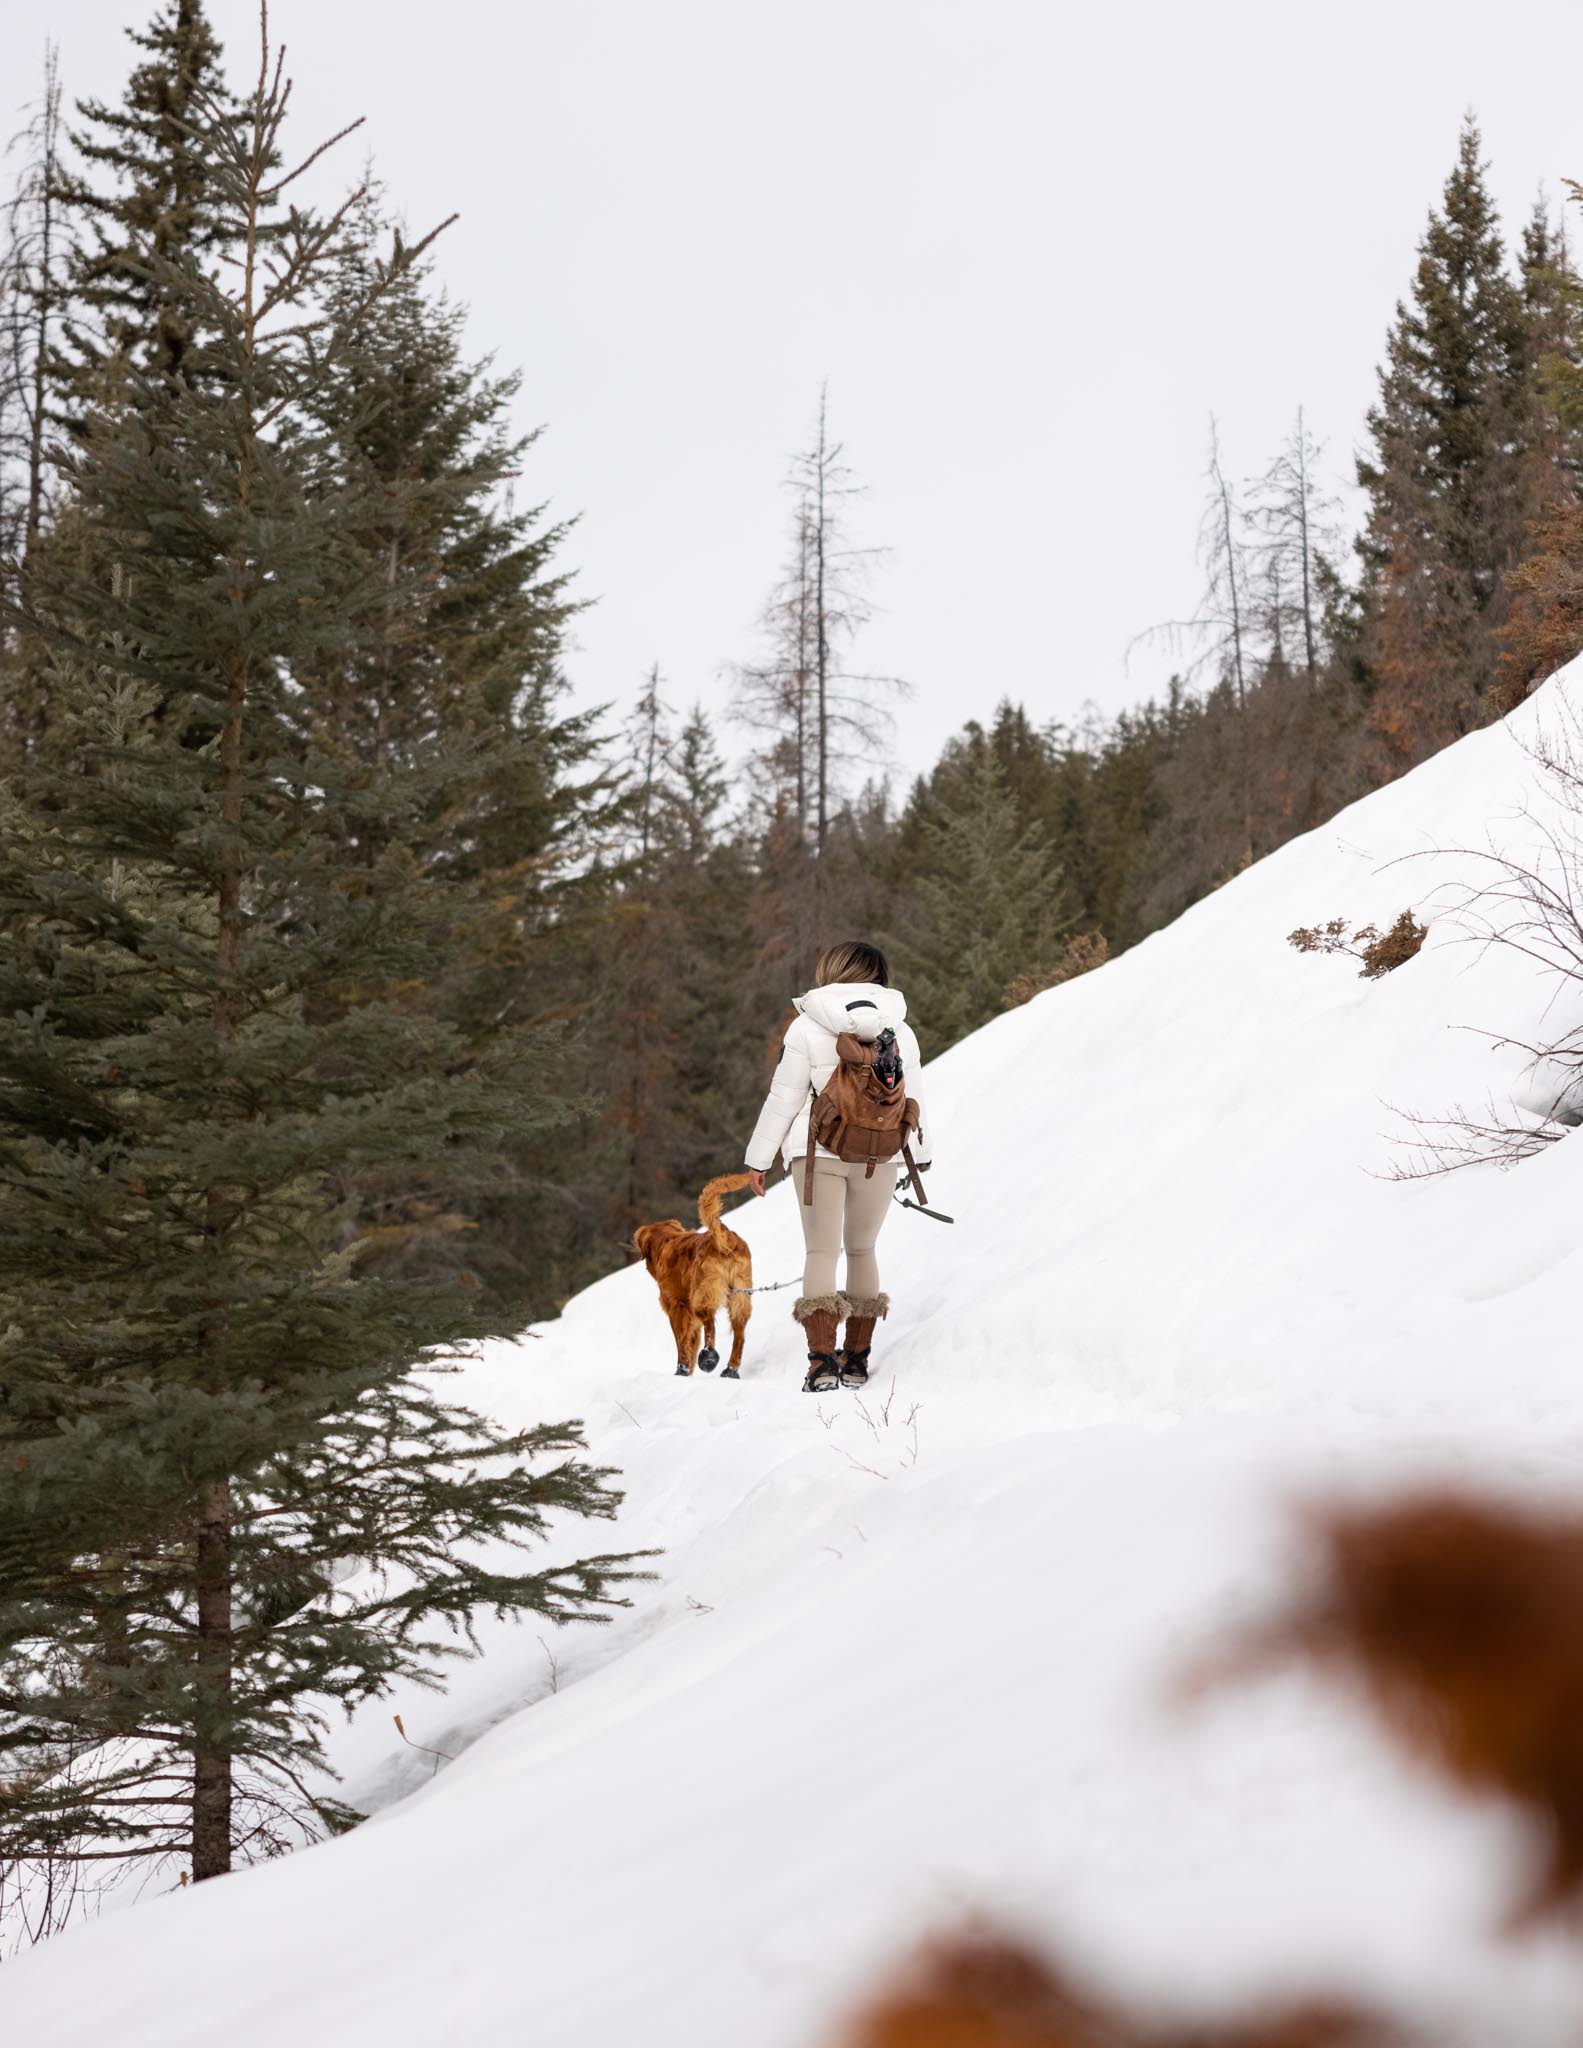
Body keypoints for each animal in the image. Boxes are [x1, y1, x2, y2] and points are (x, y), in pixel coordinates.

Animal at [630, 1171, 753, 1376]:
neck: (666, 1241)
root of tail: (723, 1236)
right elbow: (691, 1341)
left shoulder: (676, 1306)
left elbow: (681, 1340)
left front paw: (682, 1369)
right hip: (740, 1294)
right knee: (739, 1333)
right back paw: (730, 1369)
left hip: (702, 1294)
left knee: (710, 1323)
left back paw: (709, 1357)